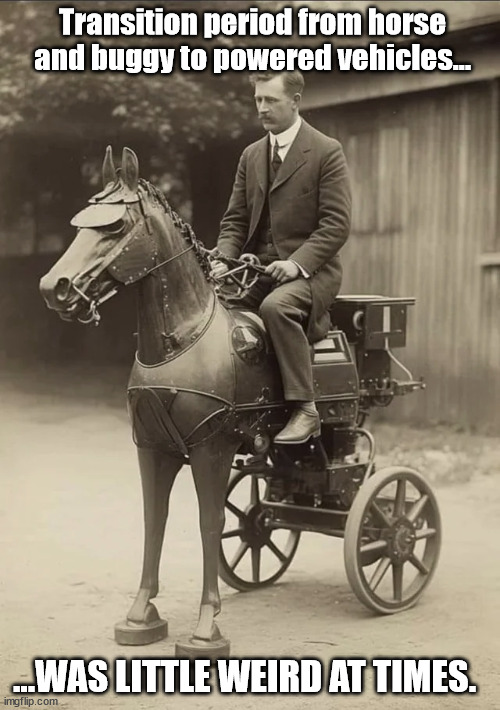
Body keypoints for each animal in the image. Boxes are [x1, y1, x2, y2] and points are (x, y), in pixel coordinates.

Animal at [39, 146, 293, 657]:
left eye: (115, 226)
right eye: (80, 224)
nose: (53, 287)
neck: (182, 341)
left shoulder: (212, 449)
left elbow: (209, 522)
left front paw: (207, 625)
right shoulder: (151, 447)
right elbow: (154, 520)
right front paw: (141, 614)